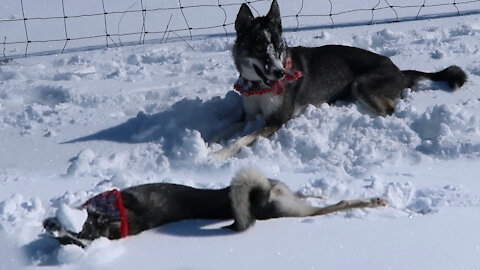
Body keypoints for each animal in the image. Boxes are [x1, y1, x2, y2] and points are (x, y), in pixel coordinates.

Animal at [212, 0, 466, 159]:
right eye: (259, 48)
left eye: (279, 48)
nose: (280, 73)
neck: (260, 87)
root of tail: (399, 70)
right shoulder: (247, 115)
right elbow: (223, 129)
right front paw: (206, 145)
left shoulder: (277, 120)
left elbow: (241, 139)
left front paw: (218, 154)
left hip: (362, 84)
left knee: (390, 109)